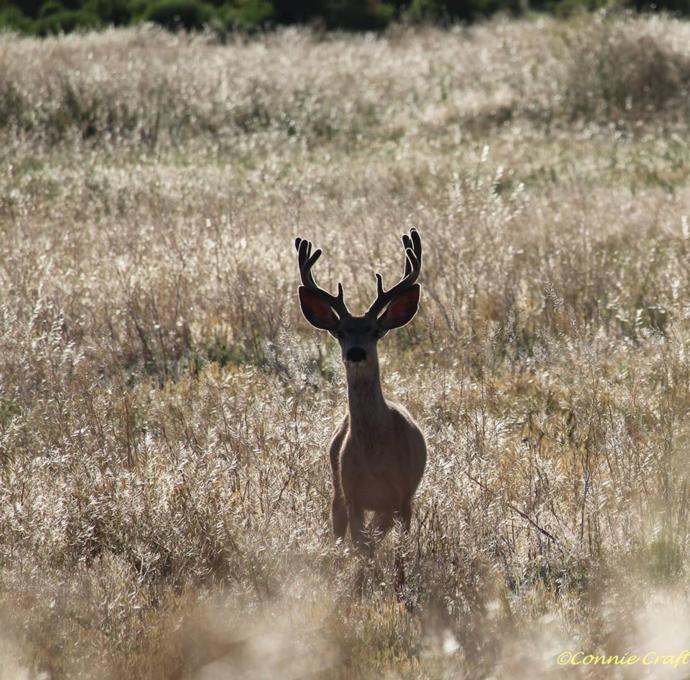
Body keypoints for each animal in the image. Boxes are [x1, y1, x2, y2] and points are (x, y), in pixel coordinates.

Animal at [294, 227, 428, 588]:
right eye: (339, 332)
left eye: (376, 331)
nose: (356, 352)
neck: (375, 457)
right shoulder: (353, 494)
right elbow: (361, 544)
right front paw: (365, 579)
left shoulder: (403, 496)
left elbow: (396, 549)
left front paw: (398, 585)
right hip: (336, 489)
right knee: (342, 534)